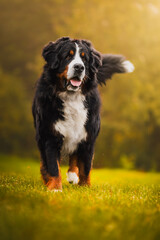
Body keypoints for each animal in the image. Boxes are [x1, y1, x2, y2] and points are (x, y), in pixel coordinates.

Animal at [32, 37, 134, 191]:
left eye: (84, 59)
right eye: (67, 56)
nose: (79, 67)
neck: (71, 97)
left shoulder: (88, 136)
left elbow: (86, 166)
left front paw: (85, 188)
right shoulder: (50, 135)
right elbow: (53, 165)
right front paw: (55, 188)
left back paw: (73, 175)